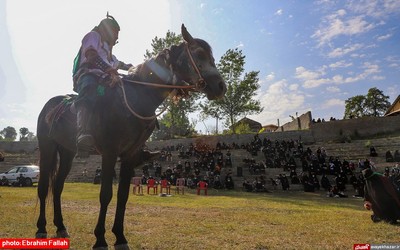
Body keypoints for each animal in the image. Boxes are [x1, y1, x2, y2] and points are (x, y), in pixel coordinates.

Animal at [36, 23, 227, 250]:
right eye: (199, 54)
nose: (221, 87)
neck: (135, 100)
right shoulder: (109, 153)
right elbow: (106, 195)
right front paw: (100, 239)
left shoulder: (129, 155)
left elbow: (123, 196)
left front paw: (120, 237)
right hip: (47, 148)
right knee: (43, 187)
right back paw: (41, 228)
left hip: (67, 152)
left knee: (57, 187)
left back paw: (60, 226)